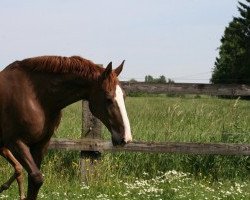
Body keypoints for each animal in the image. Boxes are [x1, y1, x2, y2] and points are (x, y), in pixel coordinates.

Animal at [0, 55, 133, 199]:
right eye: (108, 98)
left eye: (124, 96)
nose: (125, 138)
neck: (35, 97)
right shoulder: (16, 142)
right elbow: (36, 178)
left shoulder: (40, 144)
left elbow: (33, 181)